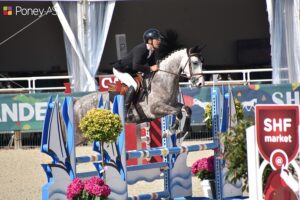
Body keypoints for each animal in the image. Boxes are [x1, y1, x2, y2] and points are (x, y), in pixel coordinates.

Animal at [73, 46, 204, 145]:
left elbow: (186, 109)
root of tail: (77, 103)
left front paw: (181, 133)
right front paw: (170, 132)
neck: (162, 81)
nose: (200, 83)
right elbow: (178, 112)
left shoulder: (172, 104)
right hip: (79, 134)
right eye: (195, 62)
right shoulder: (155, 109)